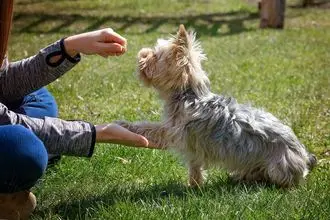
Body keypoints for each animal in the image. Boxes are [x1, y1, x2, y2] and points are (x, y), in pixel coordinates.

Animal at [116, 25, 318, 187]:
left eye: (155, 55)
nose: (142, 54)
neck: (188, 95)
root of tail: (304, 154)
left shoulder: (174, 131)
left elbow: (149, 127)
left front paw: (125, 125)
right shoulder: (192, 146)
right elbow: (195, 166)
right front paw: (194, 186)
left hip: (279, 165)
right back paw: (242, 177)